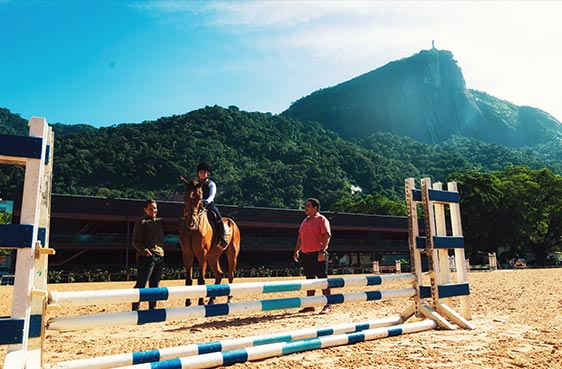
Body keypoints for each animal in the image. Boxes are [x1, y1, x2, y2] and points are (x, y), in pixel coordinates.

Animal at [178, 175, 240, 304]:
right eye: (185, 197)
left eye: (200, 196)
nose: (191, 222)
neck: (192, 230)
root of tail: (233, 223)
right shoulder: (187, 255)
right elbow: (188, 279)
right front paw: (188, 303)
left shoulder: (202, 255)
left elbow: (201, 280)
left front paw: (201, 302)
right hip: (213, 257)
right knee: (219, 274)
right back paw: (211, 300)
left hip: (232, 255)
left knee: (231, 275)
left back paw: (229, 299)